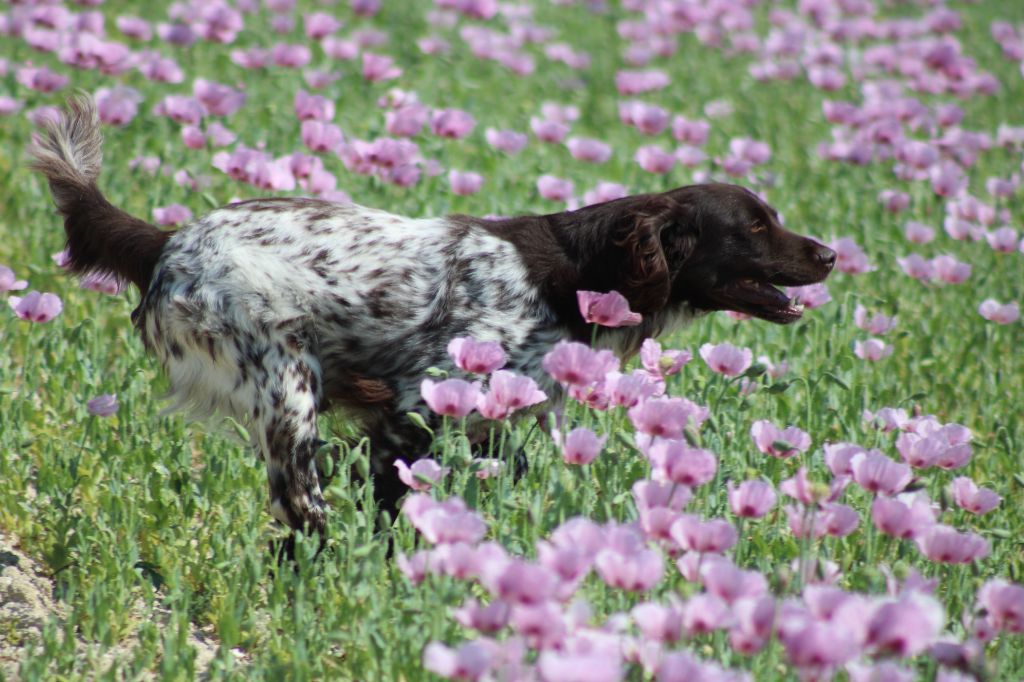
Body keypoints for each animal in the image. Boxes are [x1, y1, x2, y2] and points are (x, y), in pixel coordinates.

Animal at [28, 95, 835, 540]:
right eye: (755, 226)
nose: (830, 254)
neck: (581, 274)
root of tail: (170, 238)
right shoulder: (413, 408)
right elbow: (391, 496)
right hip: (287, 389)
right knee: (301, 508)